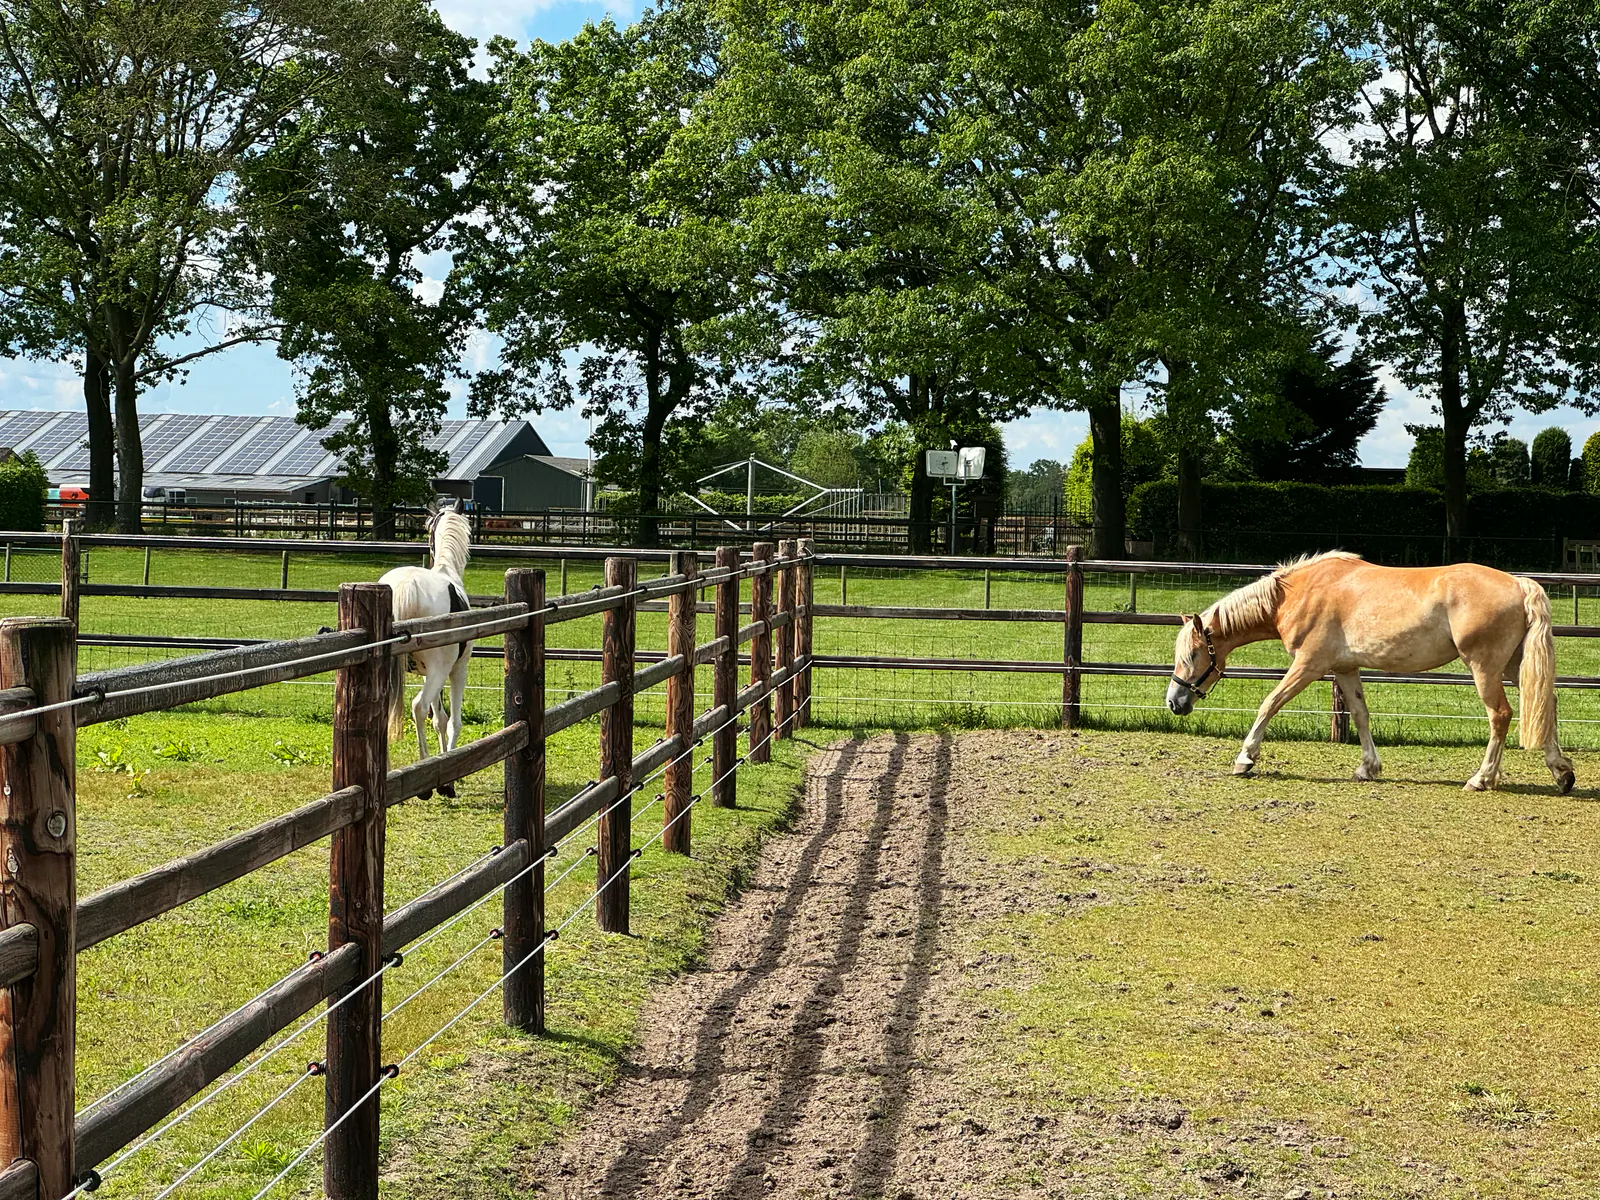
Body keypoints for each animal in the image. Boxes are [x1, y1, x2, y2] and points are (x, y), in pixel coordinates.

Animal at [383, 499, 474, 798]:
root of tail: (405, 586)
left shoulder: (427, 673)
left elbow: (440, 719)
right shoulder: (456, 670)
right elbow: (453, 720)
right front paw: (448, 780)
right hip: (441, 670)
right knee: (418, 707)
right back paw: (423, 783)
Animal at [1165, 550, 1575, 794]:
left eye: (1192, 654)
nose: (1174, 702)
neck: (1299, 593)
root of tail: (1519, 583)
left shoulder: (1309, 665)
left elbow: (1270, 703)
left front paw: (1245, 759)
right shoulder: (1346, 668)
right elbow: (1361, 715)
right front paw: (1368, 767)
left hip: (1484, 667)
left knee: (1501, 715)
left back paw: (1481, 778)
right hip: (1515, 665)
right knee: (1547, 704)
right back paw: (1562, 774)